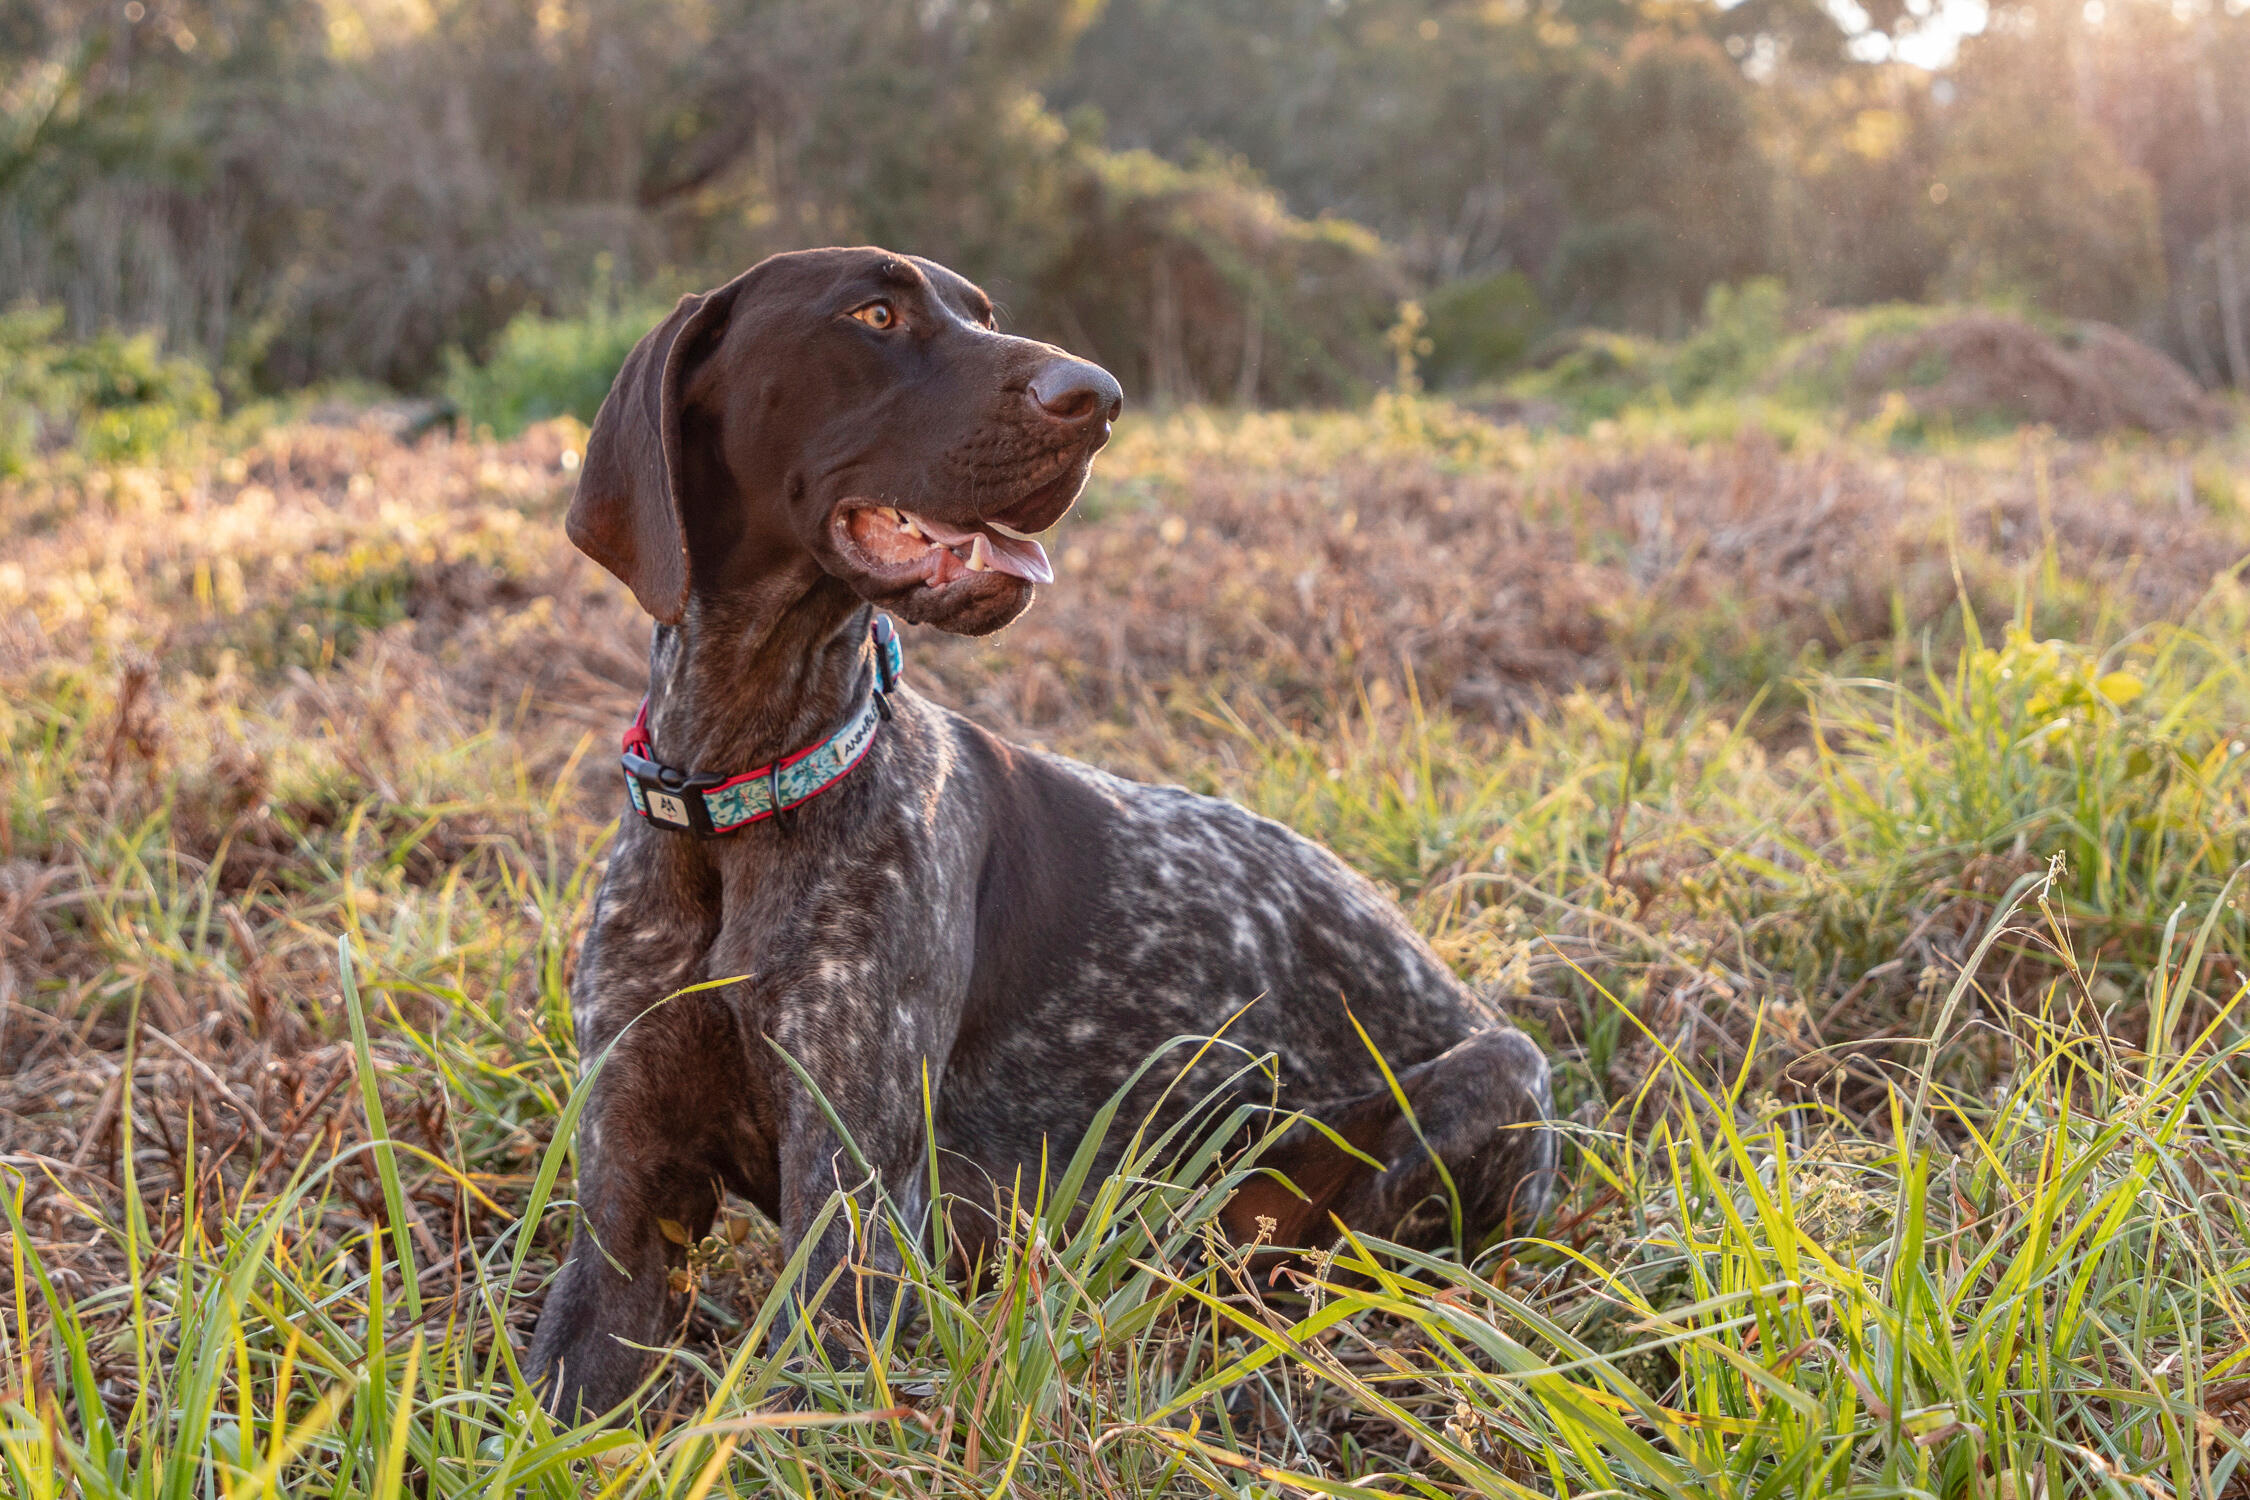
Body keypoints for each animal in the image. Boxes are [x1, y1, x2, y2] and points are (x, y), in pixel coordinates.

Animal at [525, 246, 1558, 1417]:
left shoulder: (848, 1228)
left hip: (1498, 1075)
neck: (744, 782)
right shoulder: (621, 1214)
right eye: (873, 314)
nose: (1098, 399)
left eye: (983, 314)